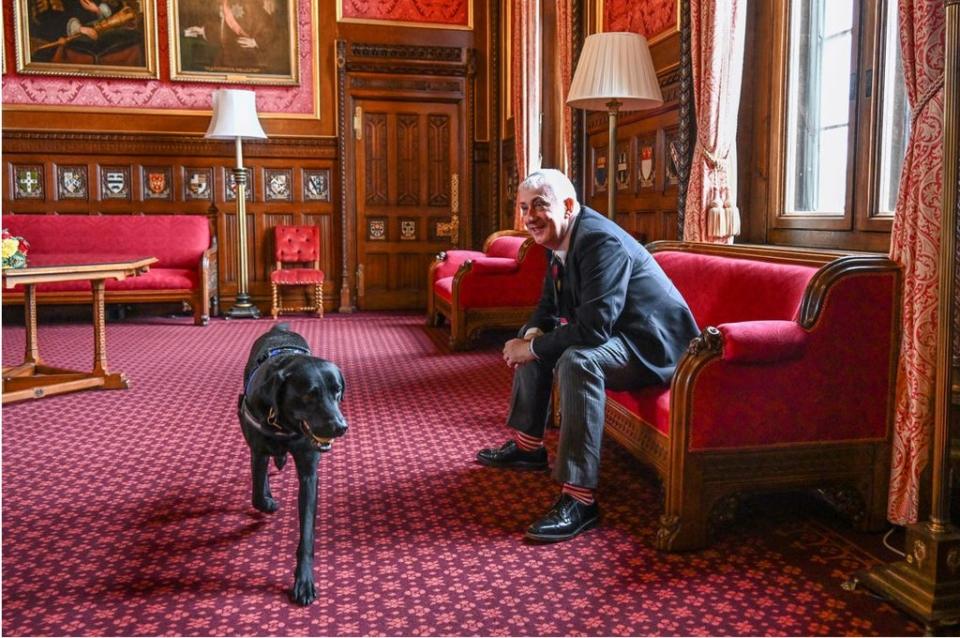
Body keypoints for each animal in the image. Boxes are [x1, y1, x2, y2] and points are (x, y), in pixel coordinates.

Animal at [238, 324, 346, 608]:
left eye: (337, 390)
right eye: (310, 394)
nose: (341, 427)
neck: (285, 425)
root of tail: (280, 327)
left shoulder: (309, 473)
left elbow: (306, 533)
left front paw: (304, 581)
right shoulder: (258, 450)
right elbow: (257, 494)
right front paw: (267, 501)